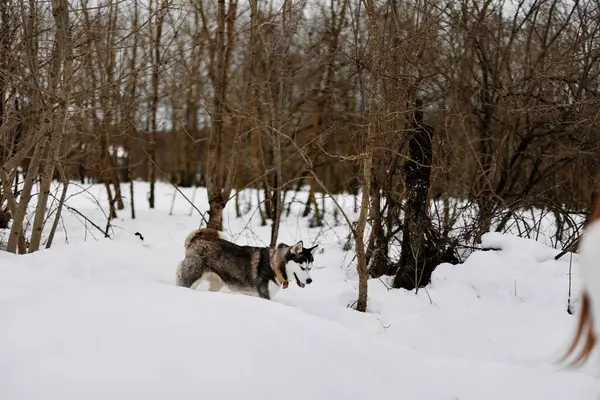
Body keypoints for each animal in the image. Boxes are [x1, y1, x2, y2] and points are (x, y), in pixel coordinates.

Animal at [175, 228, 318, 300]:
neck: (275, 265)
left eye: (310, 268)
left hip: (216, 284)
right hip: (191, 278)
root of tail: (198, 238)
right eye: (302, 267)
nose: (310, 280)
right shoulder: (264, 296)